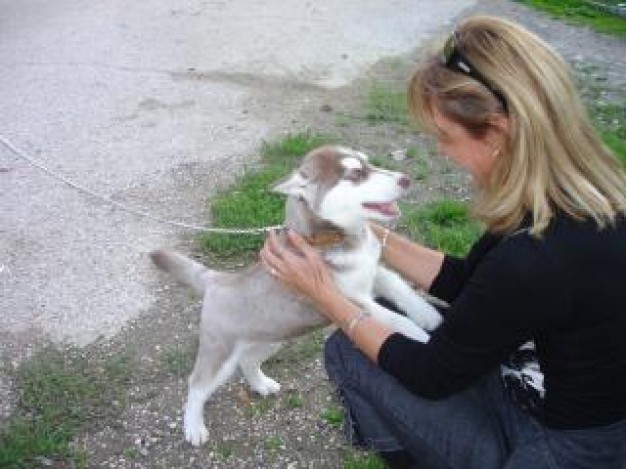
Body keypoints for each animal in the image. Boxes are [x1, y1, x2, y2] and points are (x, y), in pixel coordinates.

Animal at [151, 144, 438, 444]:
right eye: (355, 173)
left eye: (369, 163)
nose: (406, 179)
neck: (336, 238)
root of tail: (219, 279)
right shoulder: (350, 300)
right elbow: (395, 319)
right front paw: (421, 337)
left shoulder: (372, 271)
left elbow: (399, 286)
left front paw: (429, 315)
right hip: (219, 352)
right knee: (197, 384)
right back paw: (194, 427)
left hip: (270, 338)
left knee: (247, 361)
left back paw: (261, 384)